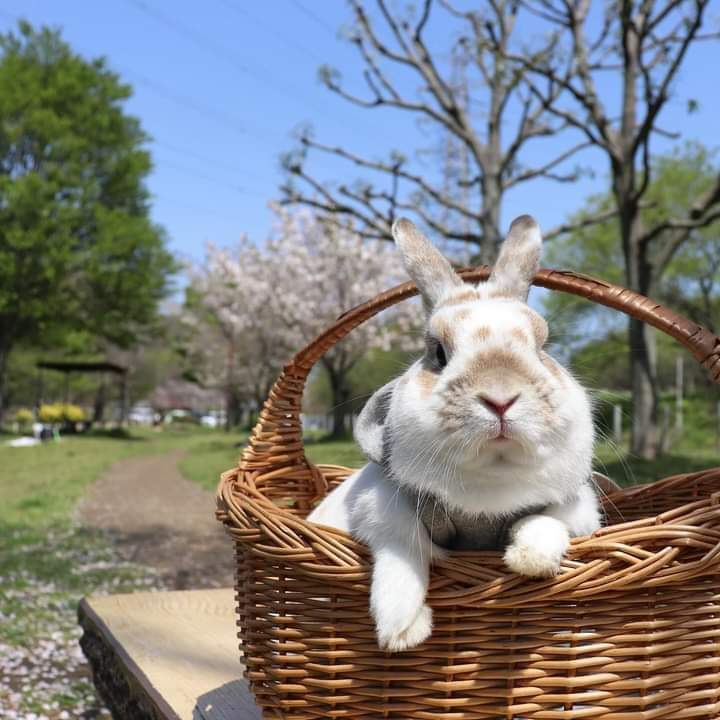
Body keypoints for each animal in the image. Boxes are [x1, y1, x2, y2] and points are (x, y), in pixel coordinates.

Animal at [306, 214, 600, 652]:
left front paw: (530, 560)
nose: (500, 398)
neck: (488, 487)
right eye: (438, 353)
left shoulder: (576, 509)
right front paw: (401, 629)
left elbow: (544, 521)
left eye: (541, 347)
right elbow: (405, 549)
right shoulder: (382, 506)